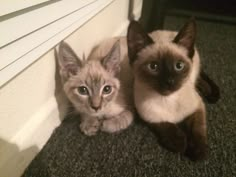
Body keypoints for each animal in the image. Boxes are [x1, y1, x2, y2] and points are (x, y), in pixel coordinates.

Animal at [127, 19, 208, 160]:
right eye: (153, 67)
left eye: (179, 66)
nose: (169, 82)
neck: (168, 100)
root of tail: (167, 30)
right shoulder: (147, 115)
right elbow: (164, 125)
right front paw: (179, 142)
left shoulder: (198, 106)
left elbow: (197, 129)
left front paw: (199, 151)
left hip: (195, 69)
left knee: (200, 77)